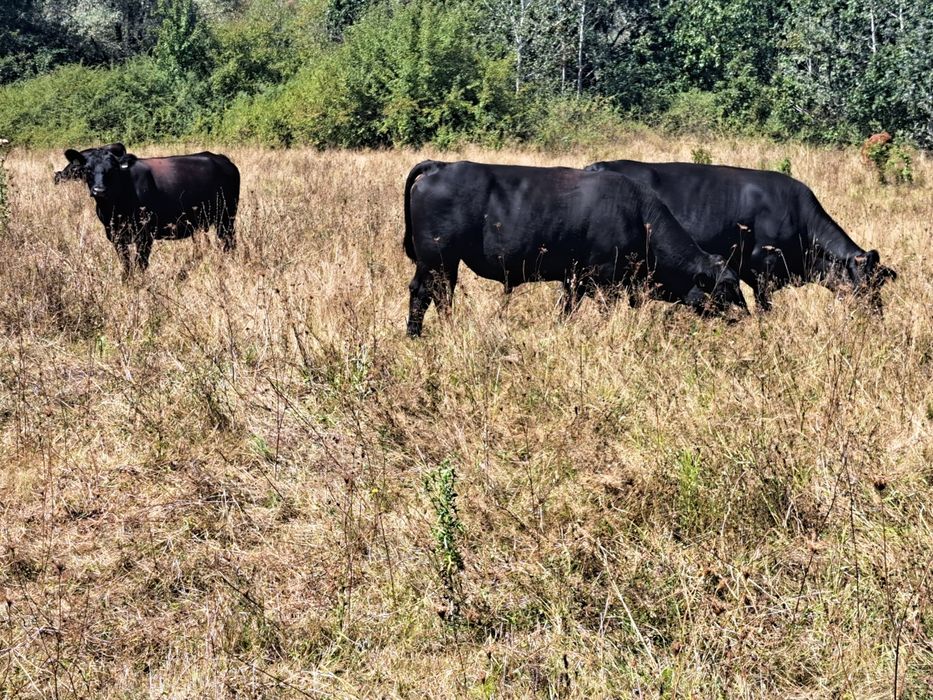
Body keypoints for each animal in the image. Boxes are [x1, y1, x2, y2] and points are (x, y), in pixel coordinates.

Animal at [62, 147, 240, 275]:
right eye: (87, 169)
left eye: (112, 169)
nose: (99, 190)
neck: (113, 208)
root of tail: (221, 158)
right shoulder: (116, 235)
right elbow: (126, 265)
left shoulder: (145, 235)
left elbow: (141, 264)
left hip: (226, 217)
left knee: (229, 243)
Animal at [403, 160, 747, 336]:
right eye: (726, 288)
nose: (742, 317)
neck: (638, 216)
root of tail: (440, 166)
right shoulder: (605, 283)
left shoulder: (574, 280)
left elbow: (567, 310)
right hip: (438, 260)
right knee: (431, 294)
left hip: (438, 262)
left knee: (431, 294)